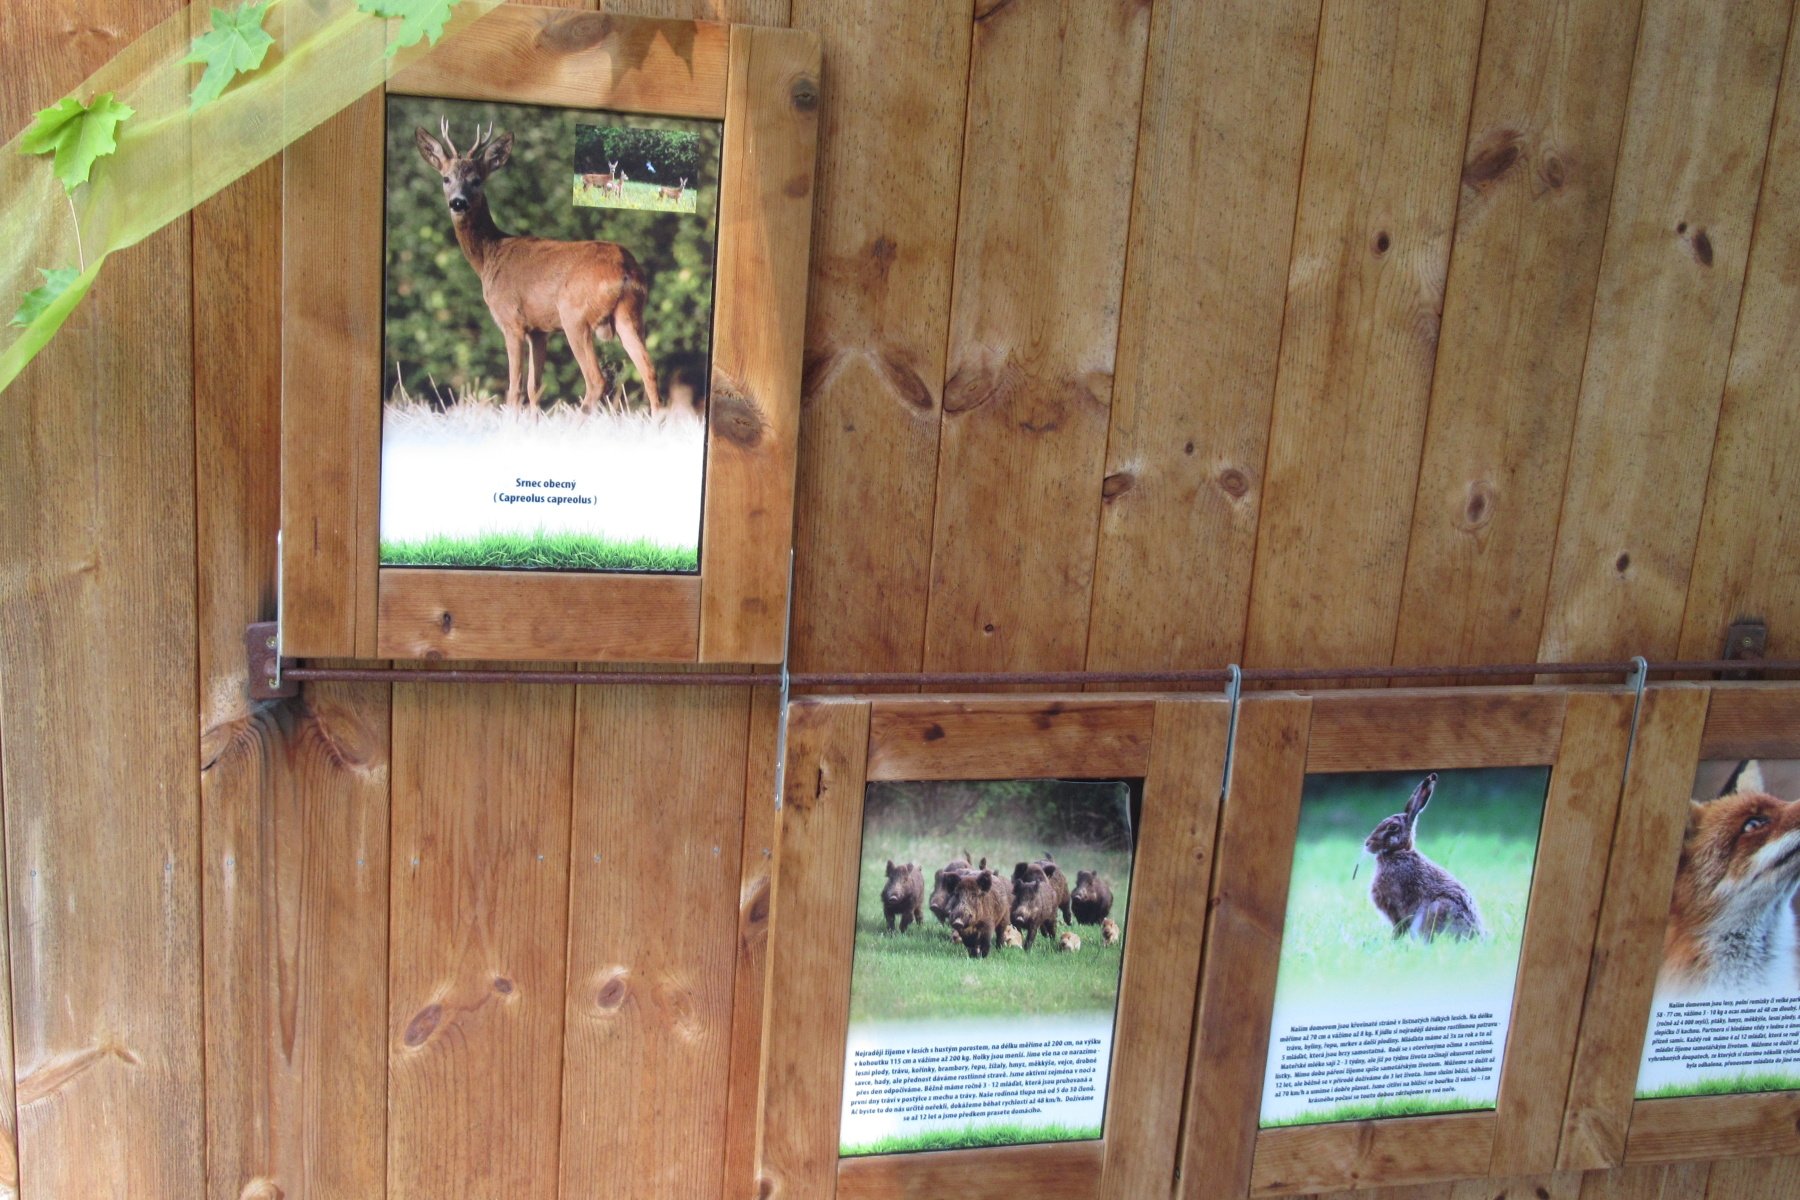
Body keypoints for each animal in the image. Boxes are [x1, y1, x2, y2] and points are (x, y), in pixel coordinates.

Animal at [415, 120, 661, 413]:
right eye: (446, 178)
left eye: (477, 180)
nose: (458, 202)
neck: (490, 255)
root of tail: (626, 271)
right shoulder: (539, 330)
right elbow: (535, 389)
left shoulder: (512, 321)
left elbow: (514, 390)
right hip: (630, 315)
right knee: (649, 370)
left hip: (574, 315)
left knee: (596, 380)